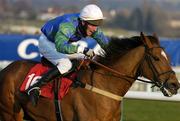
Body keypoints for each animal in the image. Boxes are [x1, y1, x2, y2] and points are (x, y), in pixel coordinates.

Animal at [0, 32, 180, 121]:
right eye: (156, 58)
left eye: (168, 57)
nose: (174, 85)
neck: (104, 85)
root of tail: (5, 70)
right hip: (11, 114)